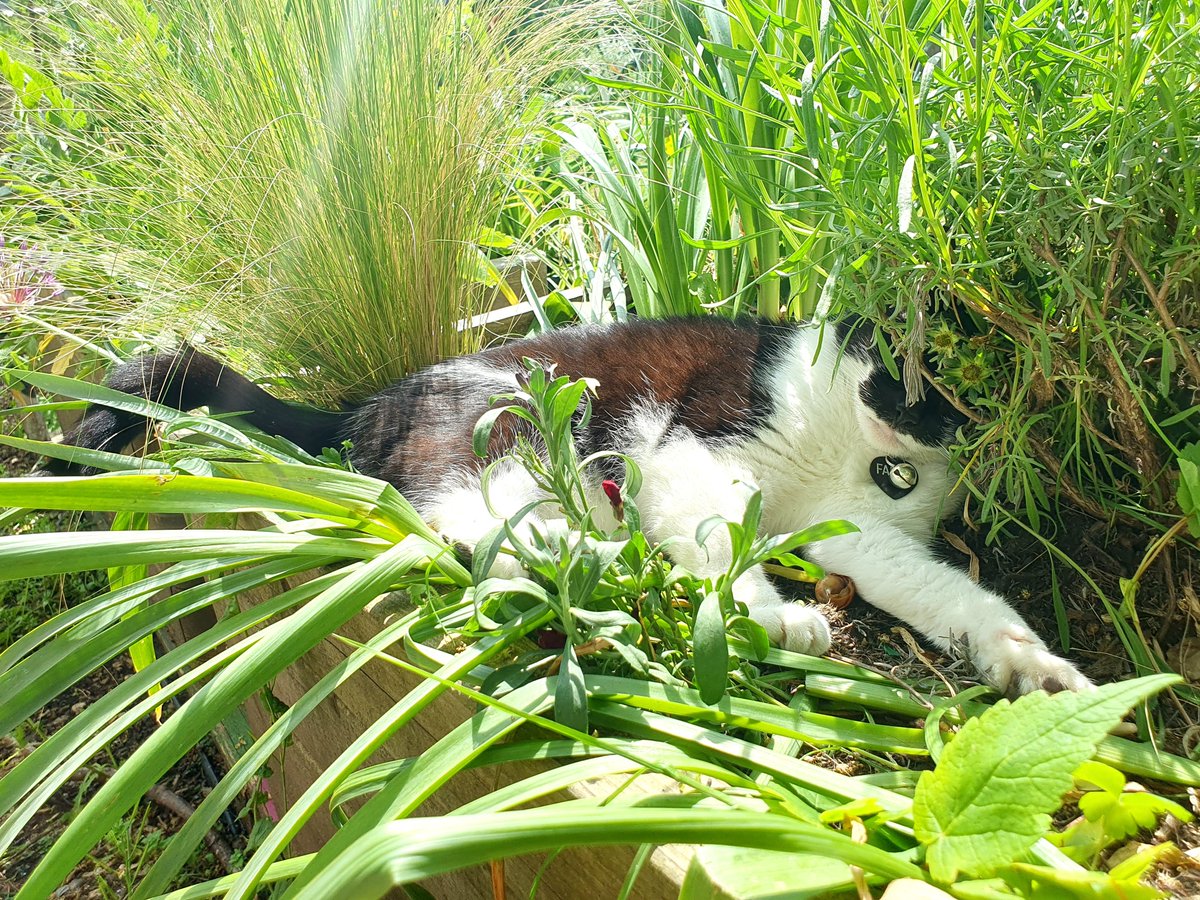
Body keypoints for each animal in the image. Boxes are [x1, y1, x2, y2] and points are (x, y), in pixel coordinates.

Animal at [54, 319, 1089, 696]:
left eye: (950, 381)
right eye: (902, 355)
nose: (906, 407)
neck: (861, 457)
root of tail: (364, 405)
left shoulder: (871, 532)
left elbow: (937, 589)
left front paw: (1032, 665)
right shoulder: (691, 447)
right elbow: (724, 531)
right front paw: (767, 615)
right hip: (516, 426)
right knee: (452, 529)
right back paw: (593, 569)